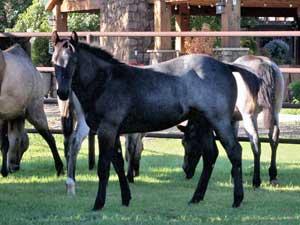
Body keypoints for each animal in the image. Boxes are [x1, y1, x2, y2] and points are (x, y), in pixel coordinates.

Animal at [50, 31, 245, 211]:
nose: (62, 93)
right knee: (210, 155)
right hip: (203, 123)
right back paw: (196, 198)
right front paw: (126, 199)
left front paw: (98, 204)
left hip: (220, 122)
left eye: (73, 61)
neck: (106, 81)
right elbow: (118, 164)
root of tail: (225, 66)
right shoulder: (113, 132)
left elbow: (104, 167)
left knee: (234, 151)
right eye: (54, 61)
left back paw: (237, 200)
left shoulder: (107, 130)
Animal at [178, 55, 284, 187]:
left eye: (185, 142)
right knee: (274, 139)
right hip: (276, 112)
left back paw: (256, 180)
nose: (185, 169)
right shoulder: (233, 120)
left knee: (256, 143)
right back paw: (273, 176)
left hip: (250, 117)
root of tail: (264, 63)